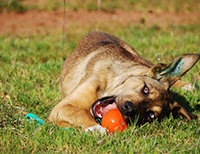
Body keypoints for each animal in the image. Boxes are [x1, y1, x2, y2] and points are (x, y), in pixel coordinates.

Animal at [48, 31, 200, 132]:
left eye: (150, 115)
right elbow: (79, 112)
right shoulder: (61, 107)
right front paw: (97, 129)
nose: (128, 109)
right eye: (145, 89)